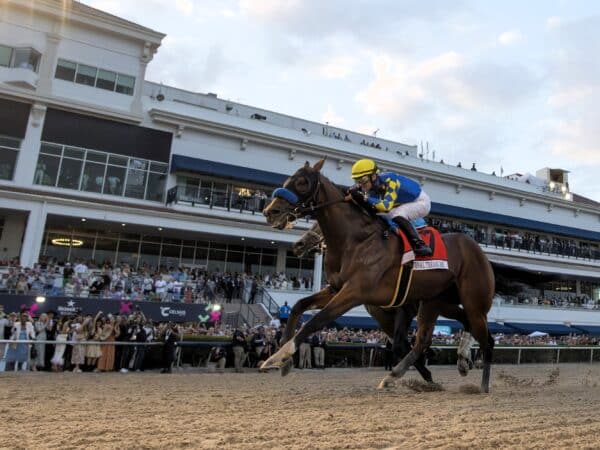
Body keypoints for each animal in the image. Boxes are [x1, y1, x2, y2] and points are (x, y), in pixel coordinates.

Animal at [260, 160, 494, 392]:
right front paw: (284, 360)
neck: (354, 239)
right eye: (287, 180)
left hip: (473, 301)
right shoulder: (337, 289)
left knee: (486, 338)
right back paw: (449, 363)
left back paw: (482, 385)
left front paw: (277, 357)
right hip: (436, 301)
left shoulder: (355, 292)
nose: (270, 211)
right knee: (436, 335)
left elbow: (317, 320)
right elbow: (298, 307)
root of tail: (476, 249)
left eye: (302, 182)